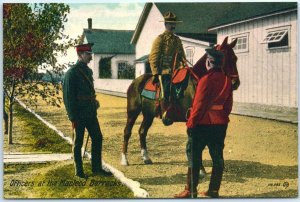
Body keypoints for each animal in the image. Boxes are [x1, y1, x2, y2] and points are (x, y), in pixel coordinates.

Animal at [119, 36, 239, 166]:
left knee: (142, 131)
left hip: (148, 114)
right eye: (224, 58)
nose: (235, 83)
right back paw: (124, 159)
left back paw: (146, 158)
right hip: (133, 112)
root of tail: (135, 81)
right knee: (127, 131)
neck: (197, 82)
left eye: (235, 58)